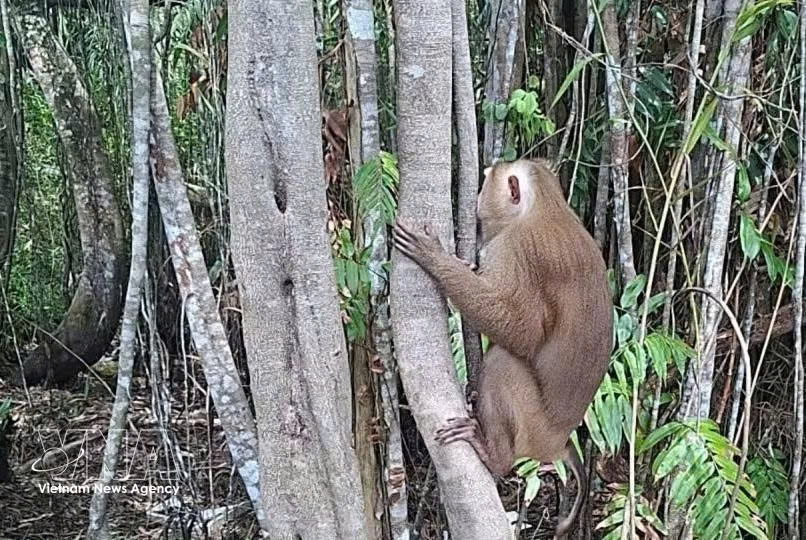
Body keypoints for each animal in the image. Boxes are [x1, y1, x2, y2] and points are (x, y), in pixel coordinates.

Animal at [393, 158, 613, 538]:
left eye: (486, 184)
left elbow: (521, 330)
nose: (477, 201)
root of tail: (559, 442)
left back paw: (494, 456)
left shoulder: (516, 249)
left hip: (534, 429)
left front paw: (434, 257)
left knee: (502, 363)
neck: (546, 207)